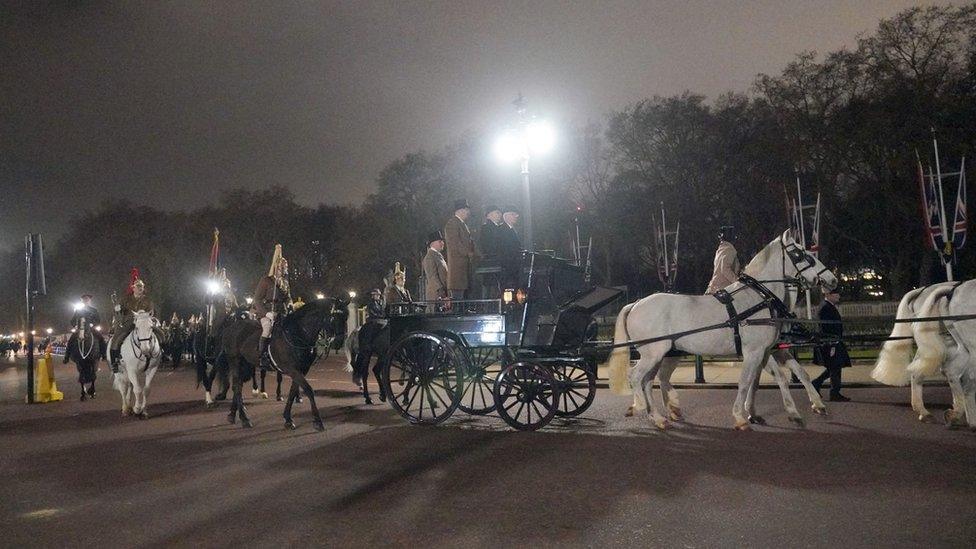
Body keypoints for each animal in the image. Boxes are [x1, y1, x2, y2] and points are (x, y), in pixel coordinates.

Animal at [216, 298, 346, 430]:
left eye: (346, 317)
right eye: (333, 317)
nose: (339, 342)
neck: (297, 334)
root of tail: (230, 328)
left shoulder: (302, 370)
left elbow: (293, 391)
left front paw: (288, 418)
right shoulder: (292, 369)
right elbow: (308, 390)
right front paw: (317, 421)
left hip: (245, 364)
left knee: (238, 385)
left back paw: (232, 415)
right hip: (235, 361)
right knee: (237, 387)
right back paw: (244, 418)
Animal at [608, 229, 836, 430]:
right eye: (801, 254)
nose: (832, 280)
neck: (760, 299)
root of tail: (636, 303)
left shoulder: (766, 350)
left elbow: (783, 375)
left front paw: (799, 409)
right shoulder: (754, 351)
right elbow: (746, 381)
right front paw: (741, 416)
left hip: (663, 353)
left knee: (650, 380)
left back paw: (659, 416)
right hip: (653, 353)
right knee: (636, 377)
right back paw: (642, 407)